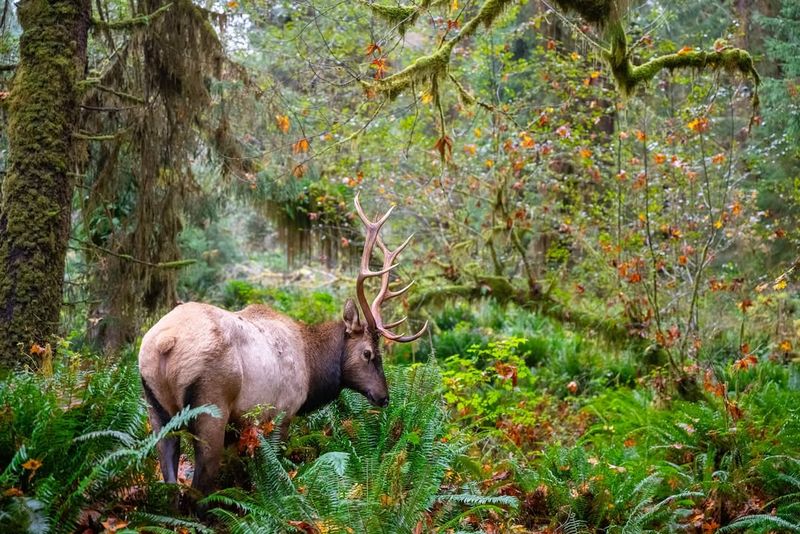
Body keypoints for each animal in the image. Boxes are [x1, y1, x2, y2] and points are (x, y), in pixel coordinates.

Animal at [139, 196, 424, 498]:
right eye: (369, 353)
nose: (384, 397)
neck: (312, 368)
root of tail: (165, 343)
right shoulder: (282, 412)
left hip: (155, 407)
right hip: (210, 404)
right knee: (198, 489)